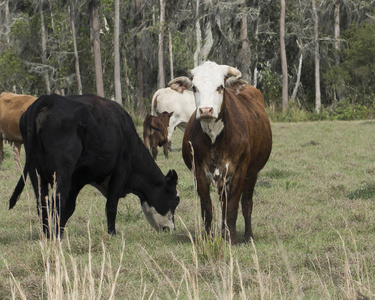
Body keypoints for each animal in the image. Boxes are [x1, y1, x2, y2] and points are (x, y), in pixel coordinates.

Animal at [8, 94, 179, 237]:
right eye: (176, 200)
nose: (171, 229)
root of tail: (50, 98)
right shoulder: (119, 173)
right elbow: (111, 206)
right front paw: (112, 233)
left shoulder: (76, 180)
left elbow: (70, 207)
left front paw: (60, 230)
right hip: (61, 172)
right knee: (57, 200)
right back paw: (53, 235)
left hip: (34, 171)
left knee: (42, 203)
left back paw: (47, 234)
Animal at [170, 61, 274, 244]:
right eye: (194, 88)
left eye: (220, 87)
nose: (206, 110)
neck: (214, 138)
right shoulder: (199, 172)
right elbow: (207, 208)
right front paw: (208, 237)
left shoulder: (239, 171)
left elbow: (232, 207)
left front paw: (231, 239)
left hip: (252, 173)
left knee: (246, 204)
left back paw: (247, 235)